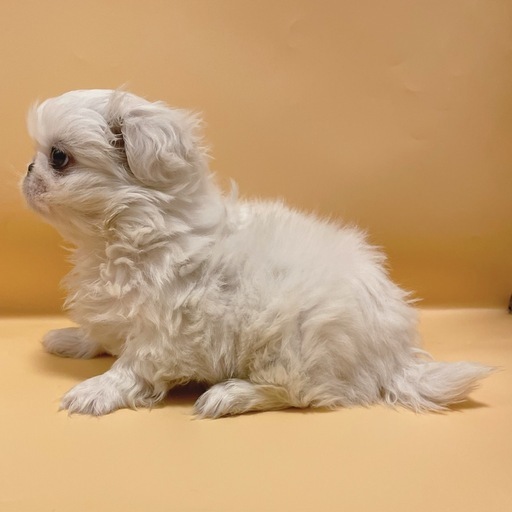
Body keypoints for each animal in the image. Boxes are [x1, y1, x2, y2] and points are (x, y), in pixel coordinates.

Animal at [22, 89, 494, 417]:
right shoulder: (120, 308)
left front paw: (96, 390)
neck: (127, 231)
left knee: (300, 392)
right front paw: (73, 339)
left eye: (58, 157)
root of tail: (392, 357)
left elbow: (133, 365)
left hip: (294, 341)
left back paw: (230, 395)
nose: (28, 169)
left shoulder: (162, 329)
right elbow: (103, 331)